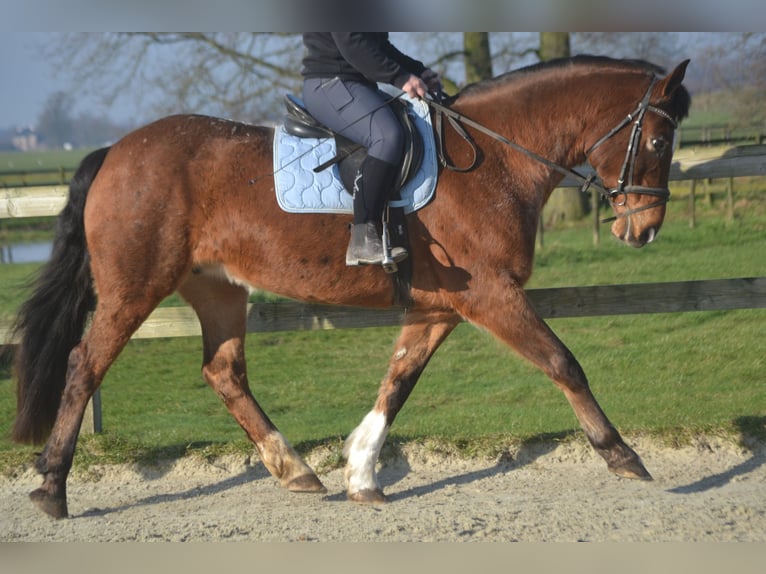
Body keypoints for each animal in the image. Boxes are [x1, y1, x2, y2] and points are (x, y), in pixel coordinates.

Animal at [12, 56, 692, 520]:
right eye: (659, 140)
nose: (645, 228)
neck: (493, 156)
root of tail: (116, 151)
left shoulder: (441, 308)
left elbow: (399, 380)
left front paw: (361, 472)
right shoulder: (491, 296)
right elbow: (563, 362)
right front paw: (621, 454)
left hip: (218, 289)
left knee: (224, 372)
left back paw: (296, 470)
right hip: (135, 287)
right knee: (84, 364)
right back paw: (51, 488)